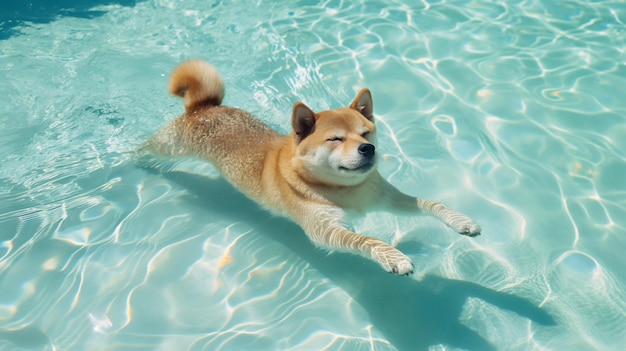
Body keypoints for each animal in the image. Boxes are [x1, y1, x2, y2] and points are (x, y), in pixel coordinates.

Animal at [149, 59, 480, 276]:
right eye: (335, 139)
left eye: (366, 133)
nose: (368, 149)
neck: (343, 190)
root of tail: (203, 107)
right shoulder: (325, 229)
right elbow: (365, 239)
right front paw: (393, 256)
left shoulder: (384, 196)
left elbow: (429, 203)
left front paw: (460, 221)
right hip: (172, 146)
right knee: (148, 150)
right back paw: (138, 161)